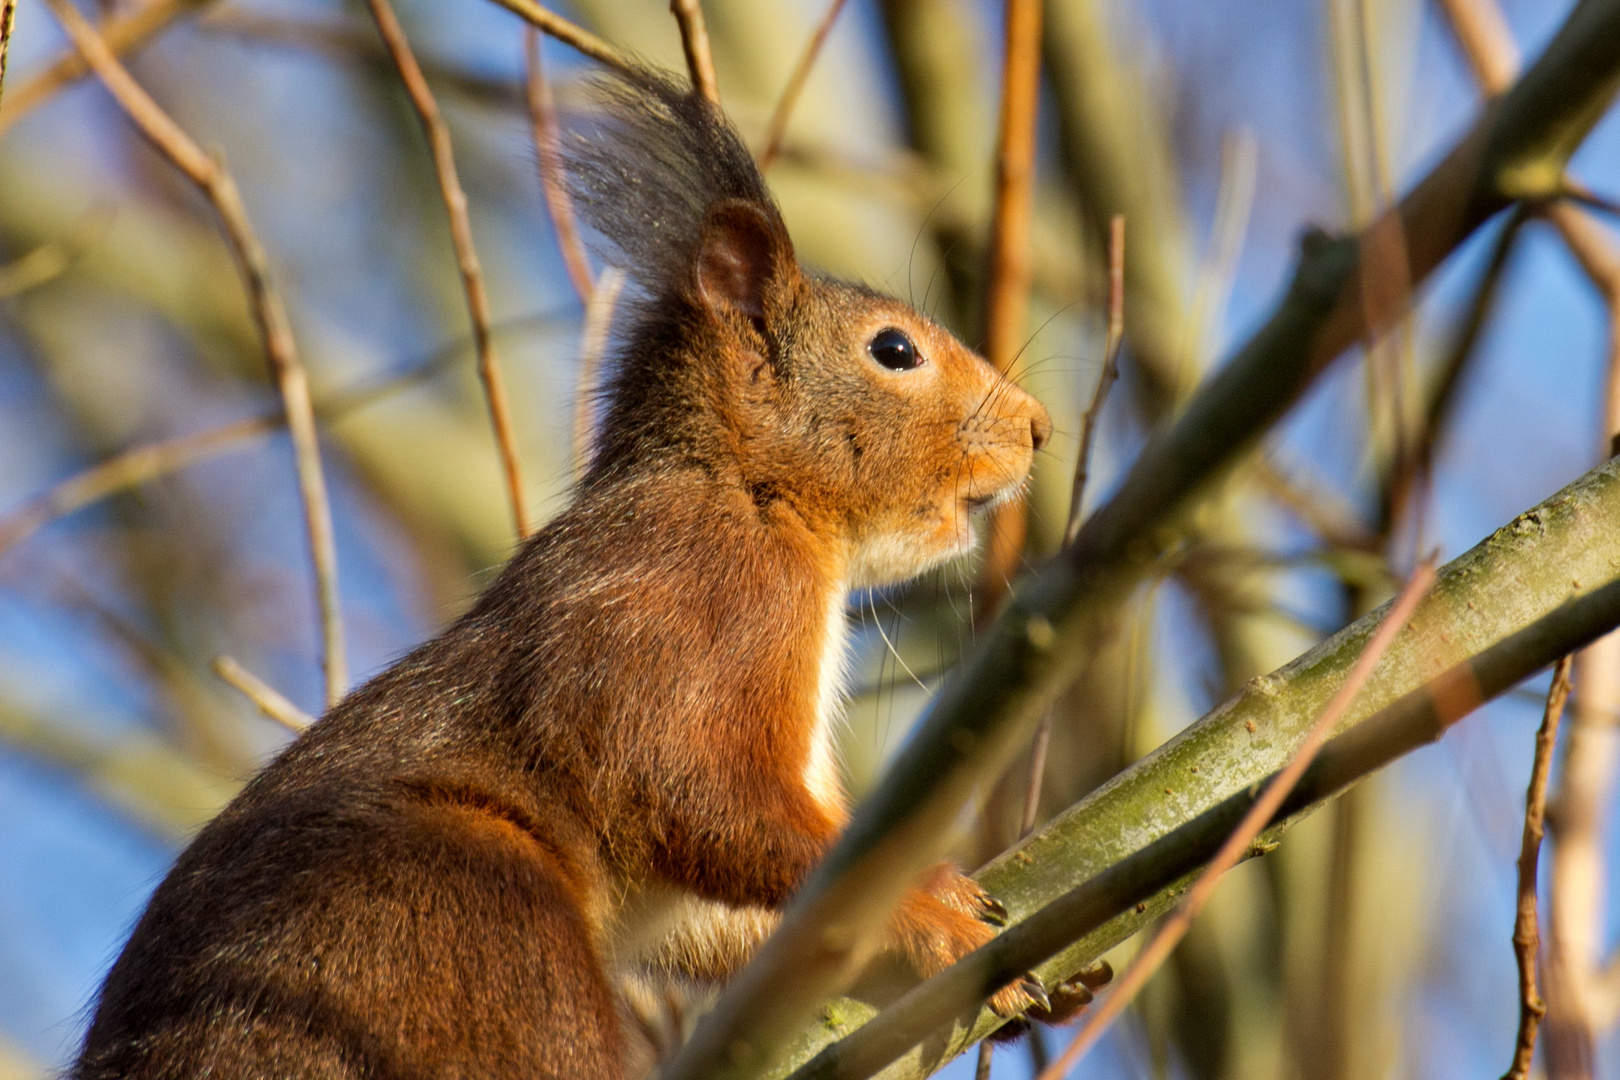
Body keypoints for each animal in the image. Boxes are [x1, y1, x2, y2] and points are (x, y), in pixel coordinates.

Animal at [76, 67, 1062, 1080]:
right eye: (894, 350)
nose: (1037, 427)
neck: (754, 493)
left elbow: (724, 919)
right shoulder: (698, 603)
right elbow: (697, 793)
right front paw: (925, 923)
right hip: (467, 926)